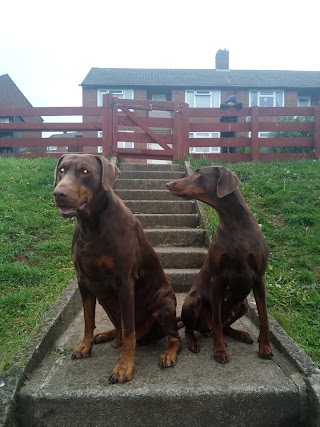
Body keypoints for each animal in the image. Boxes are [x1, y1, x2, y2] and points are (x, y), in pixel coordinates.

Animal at [53, 155, 181, 384]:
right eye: (61, 170)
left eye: (85, 171)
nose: (59, 193)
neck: (90, 227)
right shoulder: (83, 280)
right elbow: (88, 319)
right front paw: (85, 346)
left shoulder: (125, 283)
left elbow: (129, 331)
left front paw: (124, 367)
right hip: (107, 303)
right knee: (119, 327)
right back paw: (105, 335)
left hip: (164, 305)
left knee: (173, 338)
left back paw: (168, 353)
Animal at [166, 166, 274, 364]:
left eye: (199, 174)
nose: (168, 184)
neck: (235, 223)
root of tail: (205, 329)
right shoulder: (217, 278)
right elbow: (216, 320)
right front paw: (220, 350)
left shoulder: (260, 277)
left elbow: (264, 317)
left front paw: (265, 347)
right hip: (193, 301)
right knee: (194, 328)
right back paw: (194, 342)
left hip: (243, 304)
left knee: (225, 326)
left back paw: (239, 334)